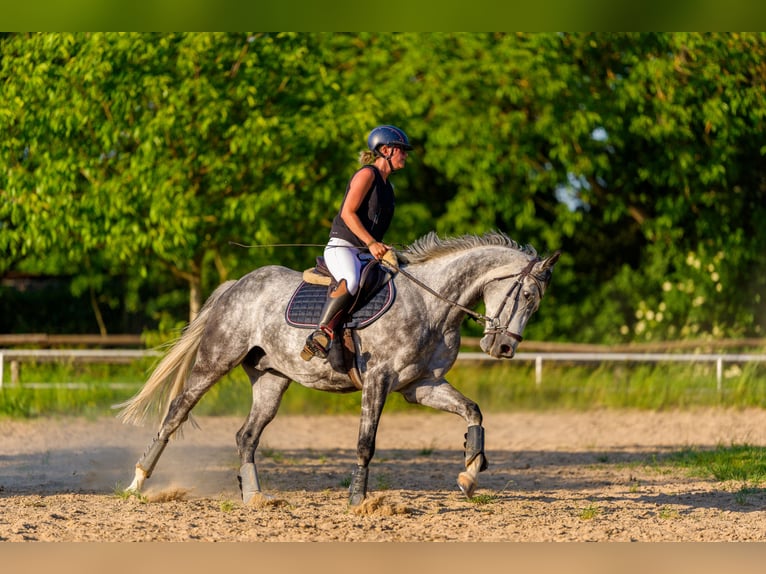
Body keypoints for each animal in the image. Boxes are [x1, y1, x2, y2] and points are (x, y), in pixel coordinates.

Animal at [117, 231, 560, 505]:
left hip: (271, 380)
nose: (504, 347)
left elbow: (473, 412)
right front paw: (359, 500)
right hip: (216, 361)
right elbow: (366, 443)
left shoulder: (421, 385)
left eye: (536, 303)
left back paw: (255, 497)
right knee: (176, 412)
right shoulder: (378, 380)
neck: (433, 304)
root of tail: (238, 285)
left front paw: (469, 476)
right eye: (525, 295)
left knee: (247, 436)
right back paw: (137, 482)